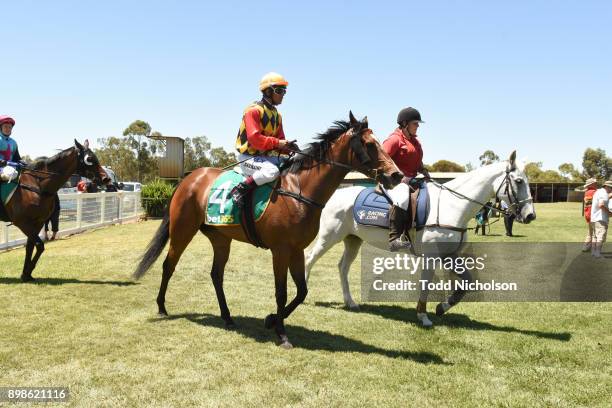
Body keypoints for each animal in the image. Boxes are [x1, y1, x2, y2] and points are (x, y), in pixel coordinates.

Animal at [4, 139, 110, 280]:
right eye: (89, 158)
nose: (106, 178)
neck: (37, 184)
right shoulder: (22, 223)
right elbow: (40, 245)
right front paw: (27, 272)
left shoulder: (37, 222)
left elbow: (31, 247)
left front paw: (26, 274)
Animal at [133, 111, 402, 348]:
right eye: (369, 143)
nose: (396, 175)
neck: (299, 190)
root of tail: (188, 179)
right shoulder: (280, 250)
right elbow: (281, 292)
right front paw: (282, 334)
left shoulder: (296, 249)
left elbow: (302, 291)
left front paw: (272, 320)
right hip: (182, 231)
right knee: (169, 265)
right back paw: (161, 307)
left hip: (221, 239)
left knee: (216, 275)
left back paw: (227, 317)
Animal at [306, 151, 536, 326]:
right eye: (518, 181)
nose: (530, 215)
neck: (452, 205)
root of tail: (333, 196)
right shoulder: (432, 257)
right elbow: (426, 284)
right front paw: (423, 316)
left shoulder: (450, 255)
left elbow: (468, 282)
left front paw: (442, 307)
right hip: (329, 237)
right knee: (309, 258)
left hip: (353, 239)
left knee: (342, 267)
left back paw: (350, 302)